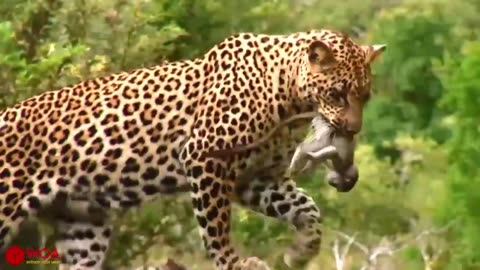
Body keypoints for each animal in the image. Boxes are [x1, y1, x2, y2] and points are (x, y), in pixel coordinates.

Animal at [0, 28, 384, 268]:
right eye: (337, 94)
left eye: (365, 97)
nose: (352, 129)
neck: (291, 101)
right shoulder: (205, 156)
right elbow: (216, 227)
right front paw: (234, 262)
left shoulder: (257, 178)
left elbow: (308, 209)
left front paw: (300, 253)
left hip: (82, 226)